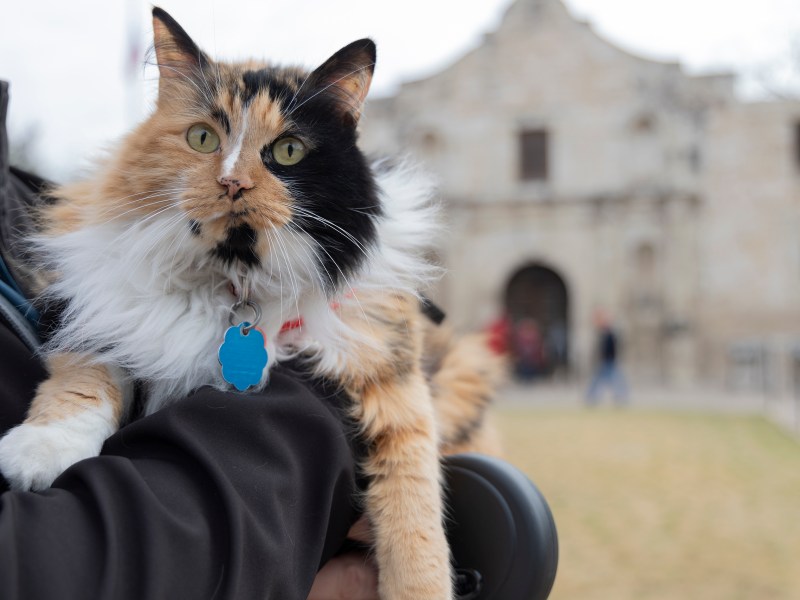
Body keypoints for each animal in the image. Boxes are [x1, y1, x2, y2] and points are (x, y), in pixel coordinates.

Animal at [0, 8, 500, 600]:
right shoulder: (101, 308)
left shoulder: (391, 373)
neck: (235, 280)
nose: (232, 183)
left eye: (288, 151)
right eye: (202, 138)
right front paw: (38, 453)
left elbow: (414, 520)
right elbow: (85, 378)